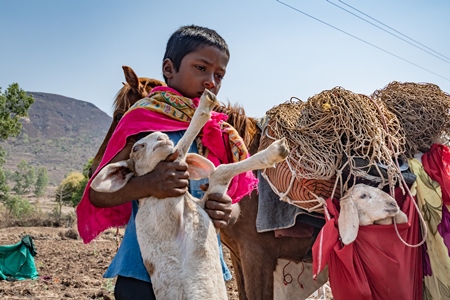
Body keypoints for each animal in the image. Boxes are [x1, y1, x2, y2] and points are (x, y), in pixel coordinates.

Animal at [90, 89, 290, 300]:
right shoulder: (170, 206)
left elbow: (220, 170)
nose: (162, 137)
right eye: (136, 147)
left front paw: (273, 152)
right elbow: (189, 155)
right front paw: (205, 106)